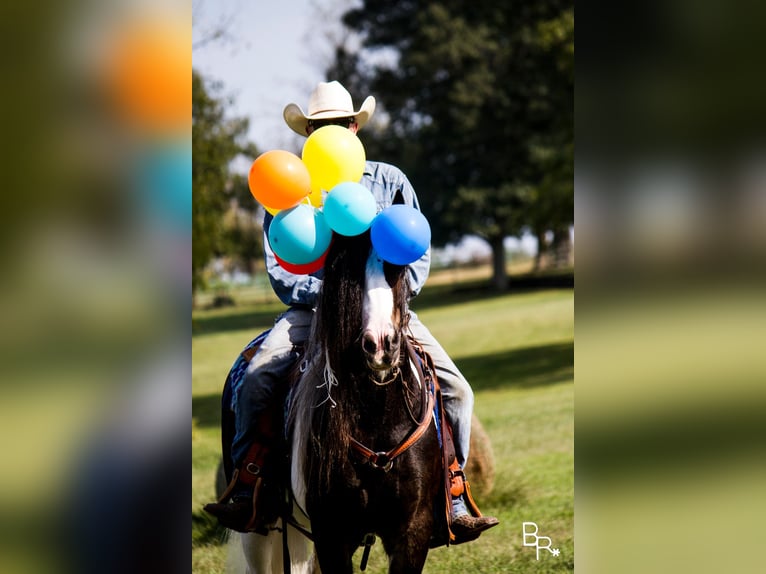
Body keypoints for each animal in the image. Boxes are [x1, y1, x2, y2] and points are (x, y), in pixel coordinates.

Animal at [240, 231, 444, 574]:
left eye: (396, 267)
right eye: (348, 269)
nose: (380, 345)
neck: (379, 417)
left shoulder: (413, 529)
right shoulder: (332, 535)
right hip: (259, 533)